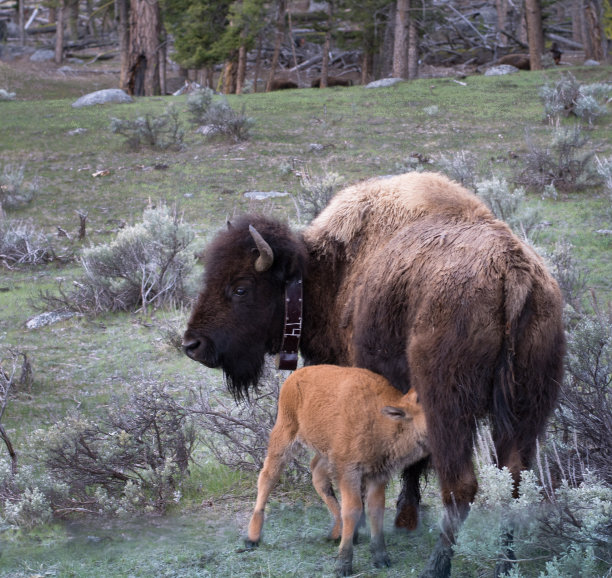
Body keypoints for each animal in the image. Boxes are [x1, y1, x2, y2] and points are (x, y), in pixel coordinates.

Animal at [243, 364, 426, 576]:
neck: (381, 417)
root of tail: (296, 375)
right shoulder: (349, 472)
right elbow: (353, 509)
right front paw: (343, 565)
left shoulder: (377, 475)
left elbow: (376, 509)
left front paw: (381, 557)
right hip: (285, 434)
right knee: (268, 476)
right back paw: (252, 538)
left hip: (324, 450)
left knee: (317, 474)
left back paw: (338, 531)